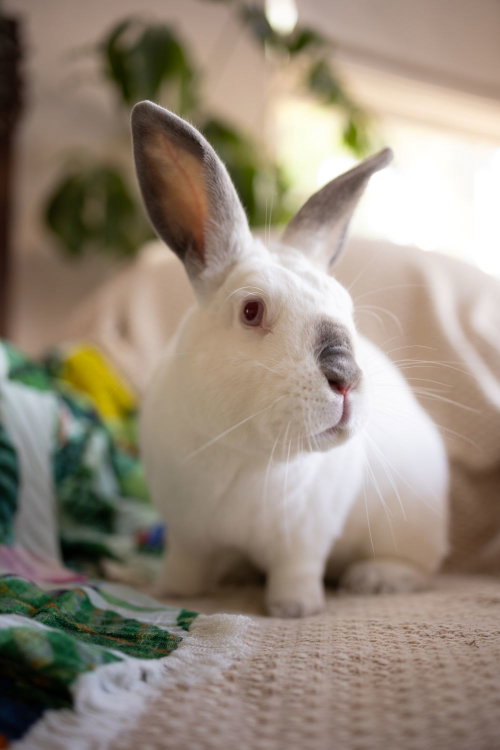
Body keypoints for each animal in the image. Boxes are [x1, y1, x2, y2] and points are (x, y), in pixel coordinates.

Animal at [131, 100, 449, 618]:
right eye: (251, 310)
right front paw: (171, 593)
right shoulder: (188, 533)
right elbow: (186, 567)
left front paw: (295, 610)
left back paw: (374, 579)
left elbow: (295, 572)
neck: (243, 455)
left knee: (420, 568)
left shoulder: (303, 540)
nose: (345, 378)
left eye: (347, 308)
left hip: (409, 529)